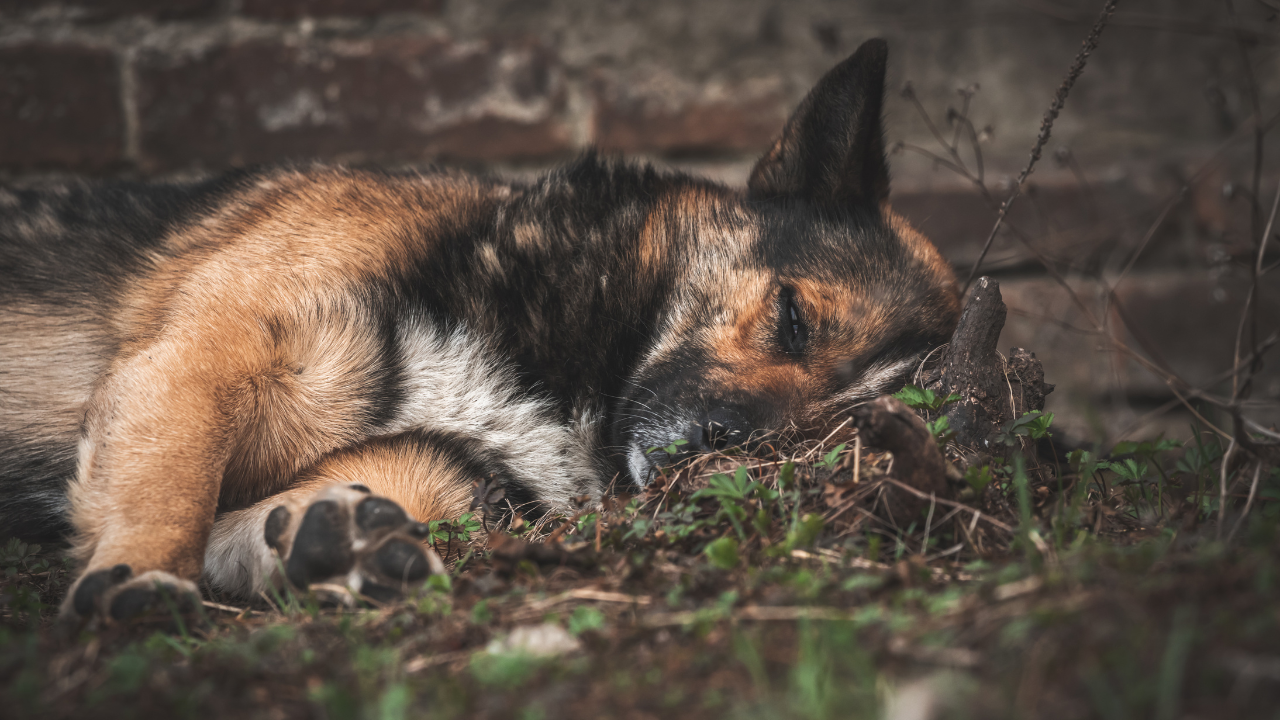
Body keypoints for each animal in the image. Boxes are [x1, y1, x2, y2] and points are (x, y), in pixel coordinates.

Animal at [0, 40, 962, 622]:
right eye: (794, 320)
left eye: (833, 431)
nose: (729, 447)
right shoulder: (205, 357)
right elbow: (174, 477)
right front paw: (142, 573)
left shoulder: (453, 467)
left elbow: (327, 499)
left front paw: (334, 543)